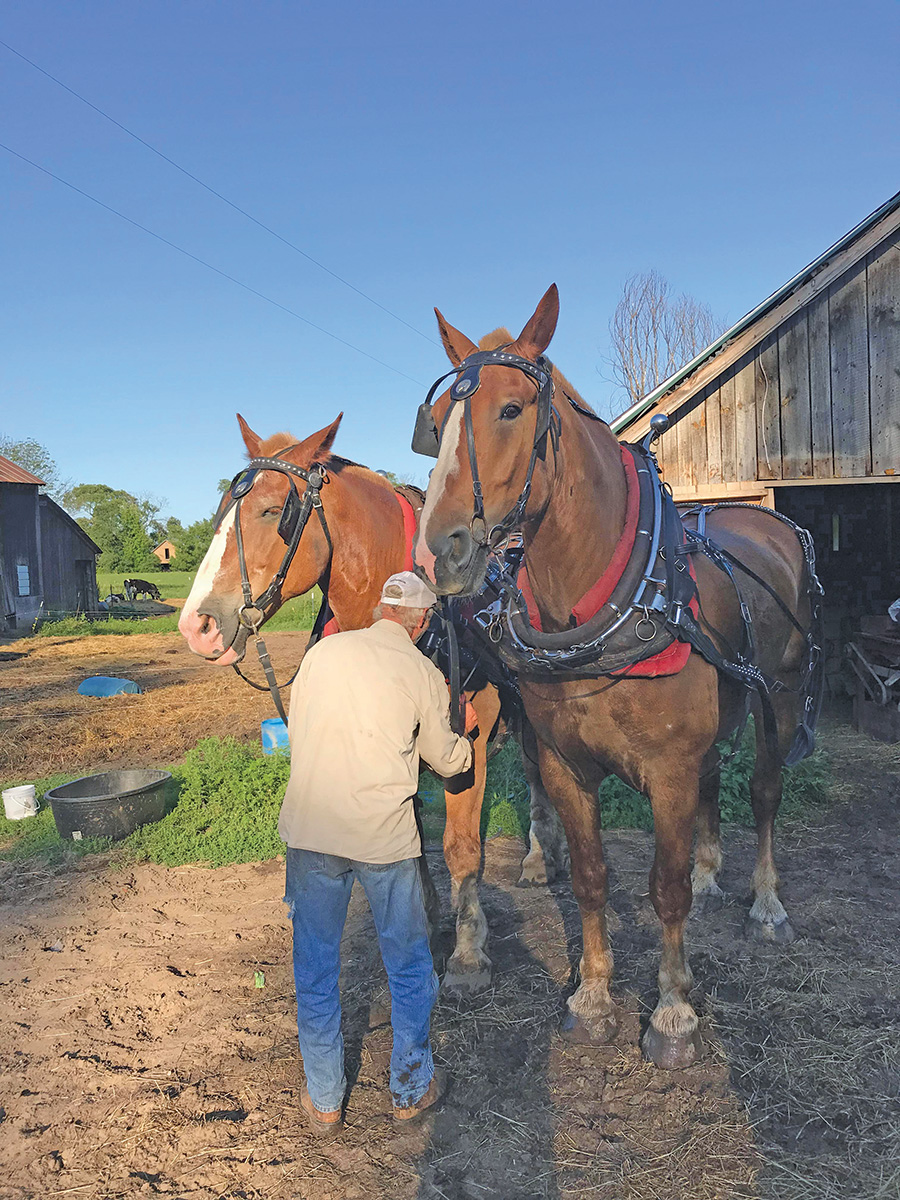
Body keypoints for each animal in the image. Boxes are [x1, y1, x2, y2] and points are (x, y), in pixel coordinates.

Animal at [180, 412, 566, 993]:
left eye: (272, 511)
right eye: (223, 510)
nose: (196, 625)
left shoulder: (469, 739)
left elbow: (460, 847)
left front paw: (468, 953)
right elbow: (412, 842)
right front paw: (424, 924)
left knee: (538, 775)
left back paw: (540, 860)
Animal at [415, 283, 825, 1070]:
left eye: (512, 409)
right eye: (438, 421)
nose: (440, 552)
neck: (607, 599)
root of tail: (771, 525)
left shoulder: (667, 766)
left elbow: (664, 891)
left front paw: (672, 1012)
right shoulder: (566, 765)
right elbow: (591, 878)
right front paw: (595, 996)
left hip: (782, 695)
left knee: (763, 793)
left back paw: (765, 904)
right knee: (713, 791)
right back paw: (712, 871)